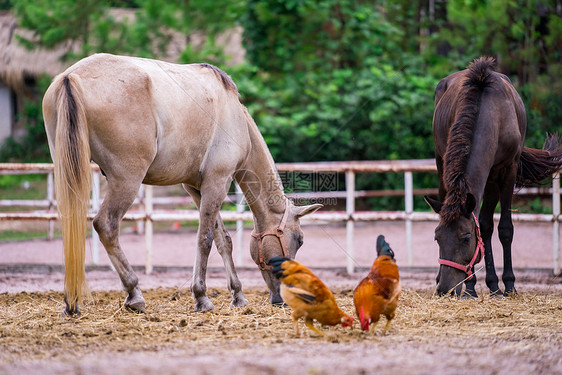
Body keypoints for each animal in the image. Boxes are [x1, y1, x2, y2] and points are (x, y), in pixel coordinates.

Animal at [42, 53, 320, 318]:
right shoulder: (217, 183)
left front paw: (238, 295)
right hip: (126, 180)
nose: (281, 299)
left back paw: (72, 302)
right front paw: (201, 297)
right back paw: (134, 294)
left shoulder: (196, 188)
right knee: (106, 226)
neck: (234, 116)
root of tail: (71, 76)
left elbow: (223, 240)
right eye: (299, 240)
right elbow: (205, 239)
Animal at [424, 56, 560, 296]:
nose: (446, 289)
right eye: (436, 237)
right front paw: (470, 288)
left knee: (487, 224)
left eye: (466, 237)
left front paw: (509, 284)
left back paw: (495, 285)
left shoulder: (508, 170)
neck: (491, 113)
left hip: (493, 181)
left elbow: (504, 228)